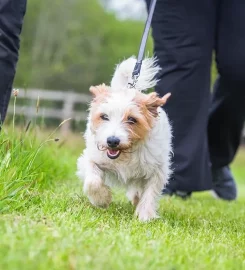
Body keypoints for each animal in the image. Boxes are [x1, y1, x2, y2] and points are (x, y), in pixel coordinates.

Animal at [77, 57, 172, 221]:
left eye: (132, 119)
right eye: (104, 116)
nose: (112, 141)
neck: (126, 154)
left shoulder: (158, 170)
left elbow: (150, 192)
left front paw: (145, 216)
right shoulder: (90, 158)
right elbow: (92, 181)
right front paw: (102, 199)